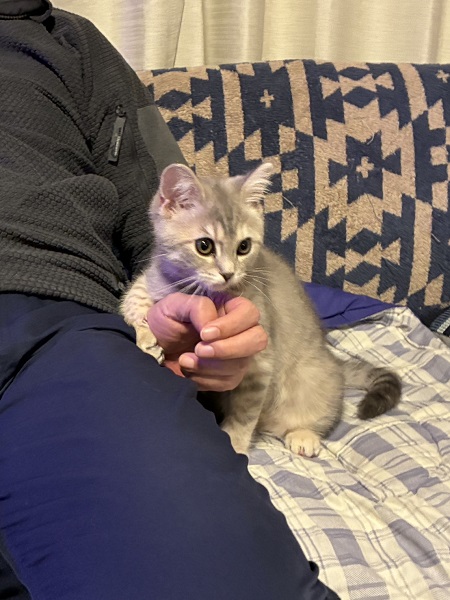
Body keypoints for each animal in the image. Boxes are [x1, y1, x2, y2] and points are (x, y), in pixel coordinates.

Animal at [121, 162, 401, 457]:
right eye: (204, 245)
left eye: (244, 247)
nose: (228, 274)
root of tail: (333, 362)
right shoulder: (151, 279)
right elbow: (133, 300)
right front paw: (147, 336)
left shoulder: (260, 362)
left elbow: (244, 414)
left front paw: (235, 444)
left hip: (313, 379)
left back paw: (303, 434)